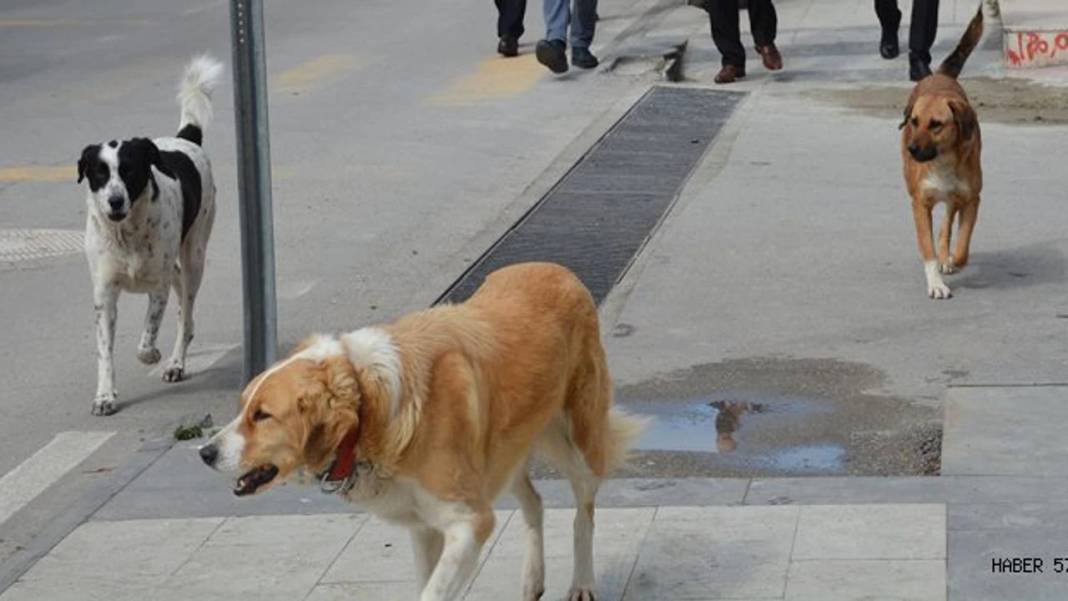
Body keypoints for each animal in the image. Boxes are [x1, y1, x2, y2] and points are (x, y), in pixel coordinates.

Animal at [78, 55, 223, 414]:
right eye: (99, 173)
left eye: (129, 171)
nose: (115, 201)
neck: (126, 233)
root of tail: (185, 139)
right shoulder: (104, 294)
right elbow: (105, 352)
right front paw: (105, 395)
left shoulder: (157, 287)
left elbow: (148, 334)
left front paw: (153, 354)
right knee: (181, 297)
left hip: (195, 254)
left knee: (185, 313)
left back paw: (175, 363)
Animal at [200, 263, 649, 601]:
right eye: (242, 407)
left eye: (262, 415)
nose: (205, 453)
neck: (370, 406)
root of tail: (558, 269)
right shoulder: (425, 527)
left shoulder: (470, 522)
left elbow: (433, 591)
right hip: (501, 456)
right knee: (535, 503)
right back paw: (533, 580)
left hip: (580, 442)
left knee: (583, 514)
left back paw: (582, 583)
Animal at [901, 8, 982, 298]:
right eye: (914, 121)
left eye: (936, 124)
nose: (911, 149)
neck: (942, 161)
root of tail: (939, 76)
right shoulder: (920, 204)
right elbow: (928, 251)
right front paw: (936, 283)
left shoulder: (971, 200)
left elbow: (962, 247)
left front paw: (951, 261)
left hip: (954, 199)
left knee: (946, 226)